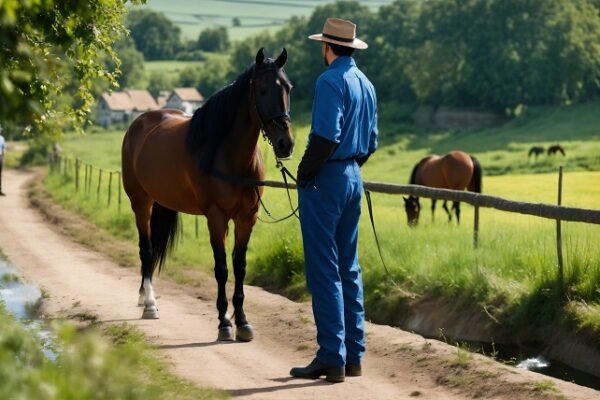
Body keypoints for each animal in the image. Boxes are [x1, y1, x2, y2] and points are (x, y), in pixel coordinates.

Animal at [120, 48, 294, 342]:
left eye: (288, 88)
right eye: (262, 89)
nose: (286, 143)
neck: (229, 157)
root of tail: (138, 124)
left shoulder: (247, 218)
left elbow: (239, 266)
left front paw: (243, 322)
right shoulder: (216, 217)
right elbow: (221, 268)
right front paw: (224, 323)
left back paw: (144, 297)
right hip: (141, 203)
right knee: (146, 249)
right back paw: (150, 304)